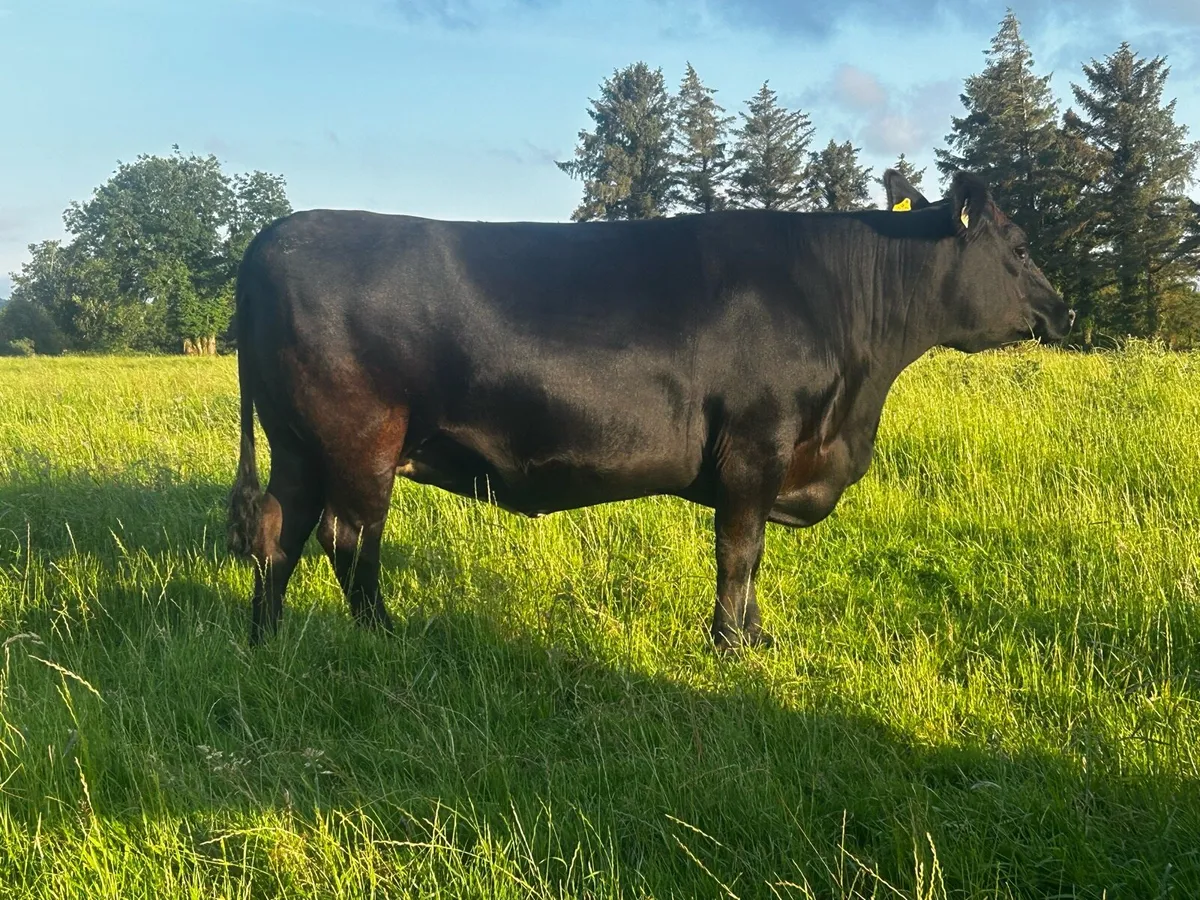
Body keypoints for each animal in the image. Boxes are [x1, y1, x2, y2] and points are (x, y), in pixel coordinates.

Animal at [225, 168, 1074, 651]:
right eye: (1019, 246)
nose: (1062, 310)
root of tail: (273, 236)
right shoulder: (758, 442)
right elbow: (740, 550)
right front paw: (730, 645)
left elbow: (755, 554)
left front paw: (758, 636)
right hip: (360, 436)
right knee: (348, 536)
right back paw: (385, 637)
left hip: (297, 440)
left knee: (279, 530)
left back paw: (266, 640)